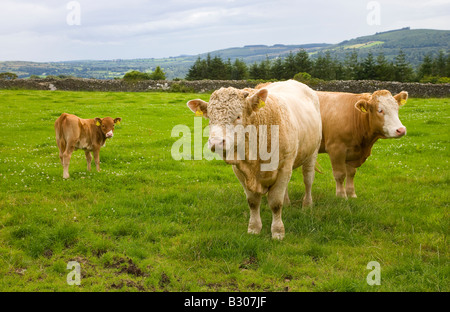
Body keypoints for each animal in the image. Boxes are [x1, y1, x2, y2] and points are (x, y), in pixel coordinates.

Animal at [188, 80, 322, 239]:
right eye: (210, 118)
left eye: (238, 117)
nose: (216, 142)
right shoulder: (240, 171)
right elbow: (252, 202)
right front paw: (254, 228)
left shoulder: (284, 166)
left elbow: (275, 203)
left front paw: (277, 231)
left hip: (312, 153)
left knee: (308, 180)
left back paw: (307, 204)